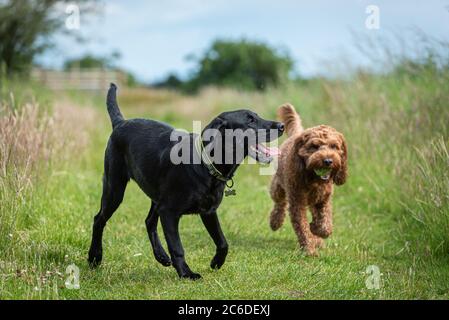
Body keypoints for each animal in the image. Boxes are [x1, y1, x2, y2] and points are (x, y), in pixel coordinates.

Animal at [88, 84, 284, 278]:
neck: (206, 164)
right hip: (115, 188)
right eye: (250, 120)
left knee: (149, 221)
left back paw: (161, 256)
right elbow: (177, 247)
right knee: (99, 219)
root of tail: (120, 123)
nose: (281, 125)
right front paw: (186, 273)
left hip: (156, 196)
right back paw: (94, 257)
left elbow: (222, 242)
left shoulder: (208, 211)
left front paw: (216, 262)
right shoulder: (169, 212)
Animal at [270, 104, 346, 256]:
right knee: (280, 202)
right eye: (314, 146)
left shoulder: (324, 200)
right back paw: (275, 221)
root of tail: (297, 134)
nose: (327, 161)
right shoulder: (297, 203)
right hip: (278, 186)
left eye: (334, 146)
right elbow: (302, 227)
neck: (314, 180)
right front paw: (309, 249)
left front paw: (316, 231)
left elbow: (325, 225)